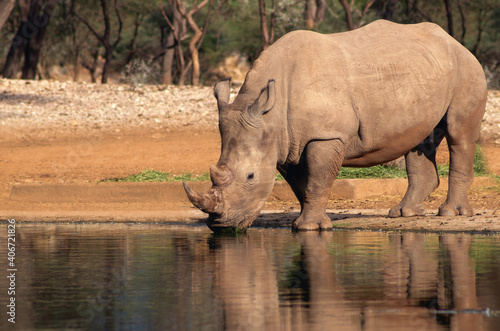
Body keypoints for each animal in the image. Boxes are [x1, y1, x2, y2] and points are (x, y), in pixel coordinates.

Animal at [184, 19, 484, 232]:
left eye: (250, 177)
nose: (221, 225)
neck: (270, 116)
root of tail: (454, 41)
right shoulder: (285, 145)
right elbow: (302, 185)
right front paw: (305, 222)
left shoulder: (326, 136)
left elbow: (319, 179)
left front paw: (310, 228)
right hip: (424, 72)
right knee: (419, 140)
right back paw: (404, 213)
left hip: (466, 67)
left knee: (459, 135)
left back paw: (451, 213)